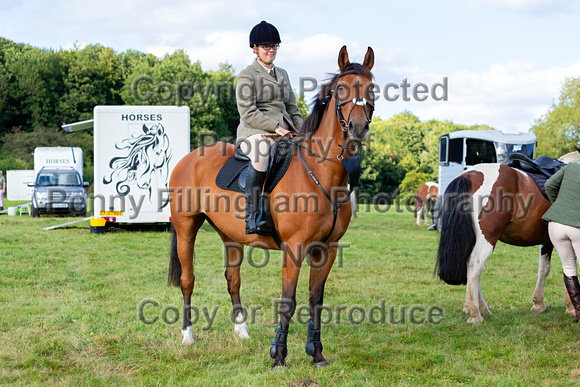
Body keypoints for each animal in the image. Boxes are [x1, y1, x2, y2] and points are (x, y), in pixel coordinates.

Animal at [168, 46, 376, 370]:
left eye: (372, 88)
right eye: (341, 88)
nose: (358, 128)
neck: (321, 172)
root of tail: (189, 158)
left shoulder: (327, 249)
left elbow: (316, 300)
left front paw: (316, 354)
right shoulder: (294, 248)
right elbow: (288, 301)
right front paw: (278, 356)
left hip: (230, 235)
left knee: (233, 280)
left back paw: (242, 332)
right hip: (186, 227)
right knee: (187, 280)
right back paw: (187, 336)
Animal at [436, 152, 580, 324]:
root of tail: (469, 175)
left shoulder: (547, 242)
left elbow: (544, 269)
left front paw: (539, 304)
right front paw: (571, 308)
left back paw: (482, 309)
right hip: (487, 239)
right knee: (475, 266)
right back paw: (475, 313)